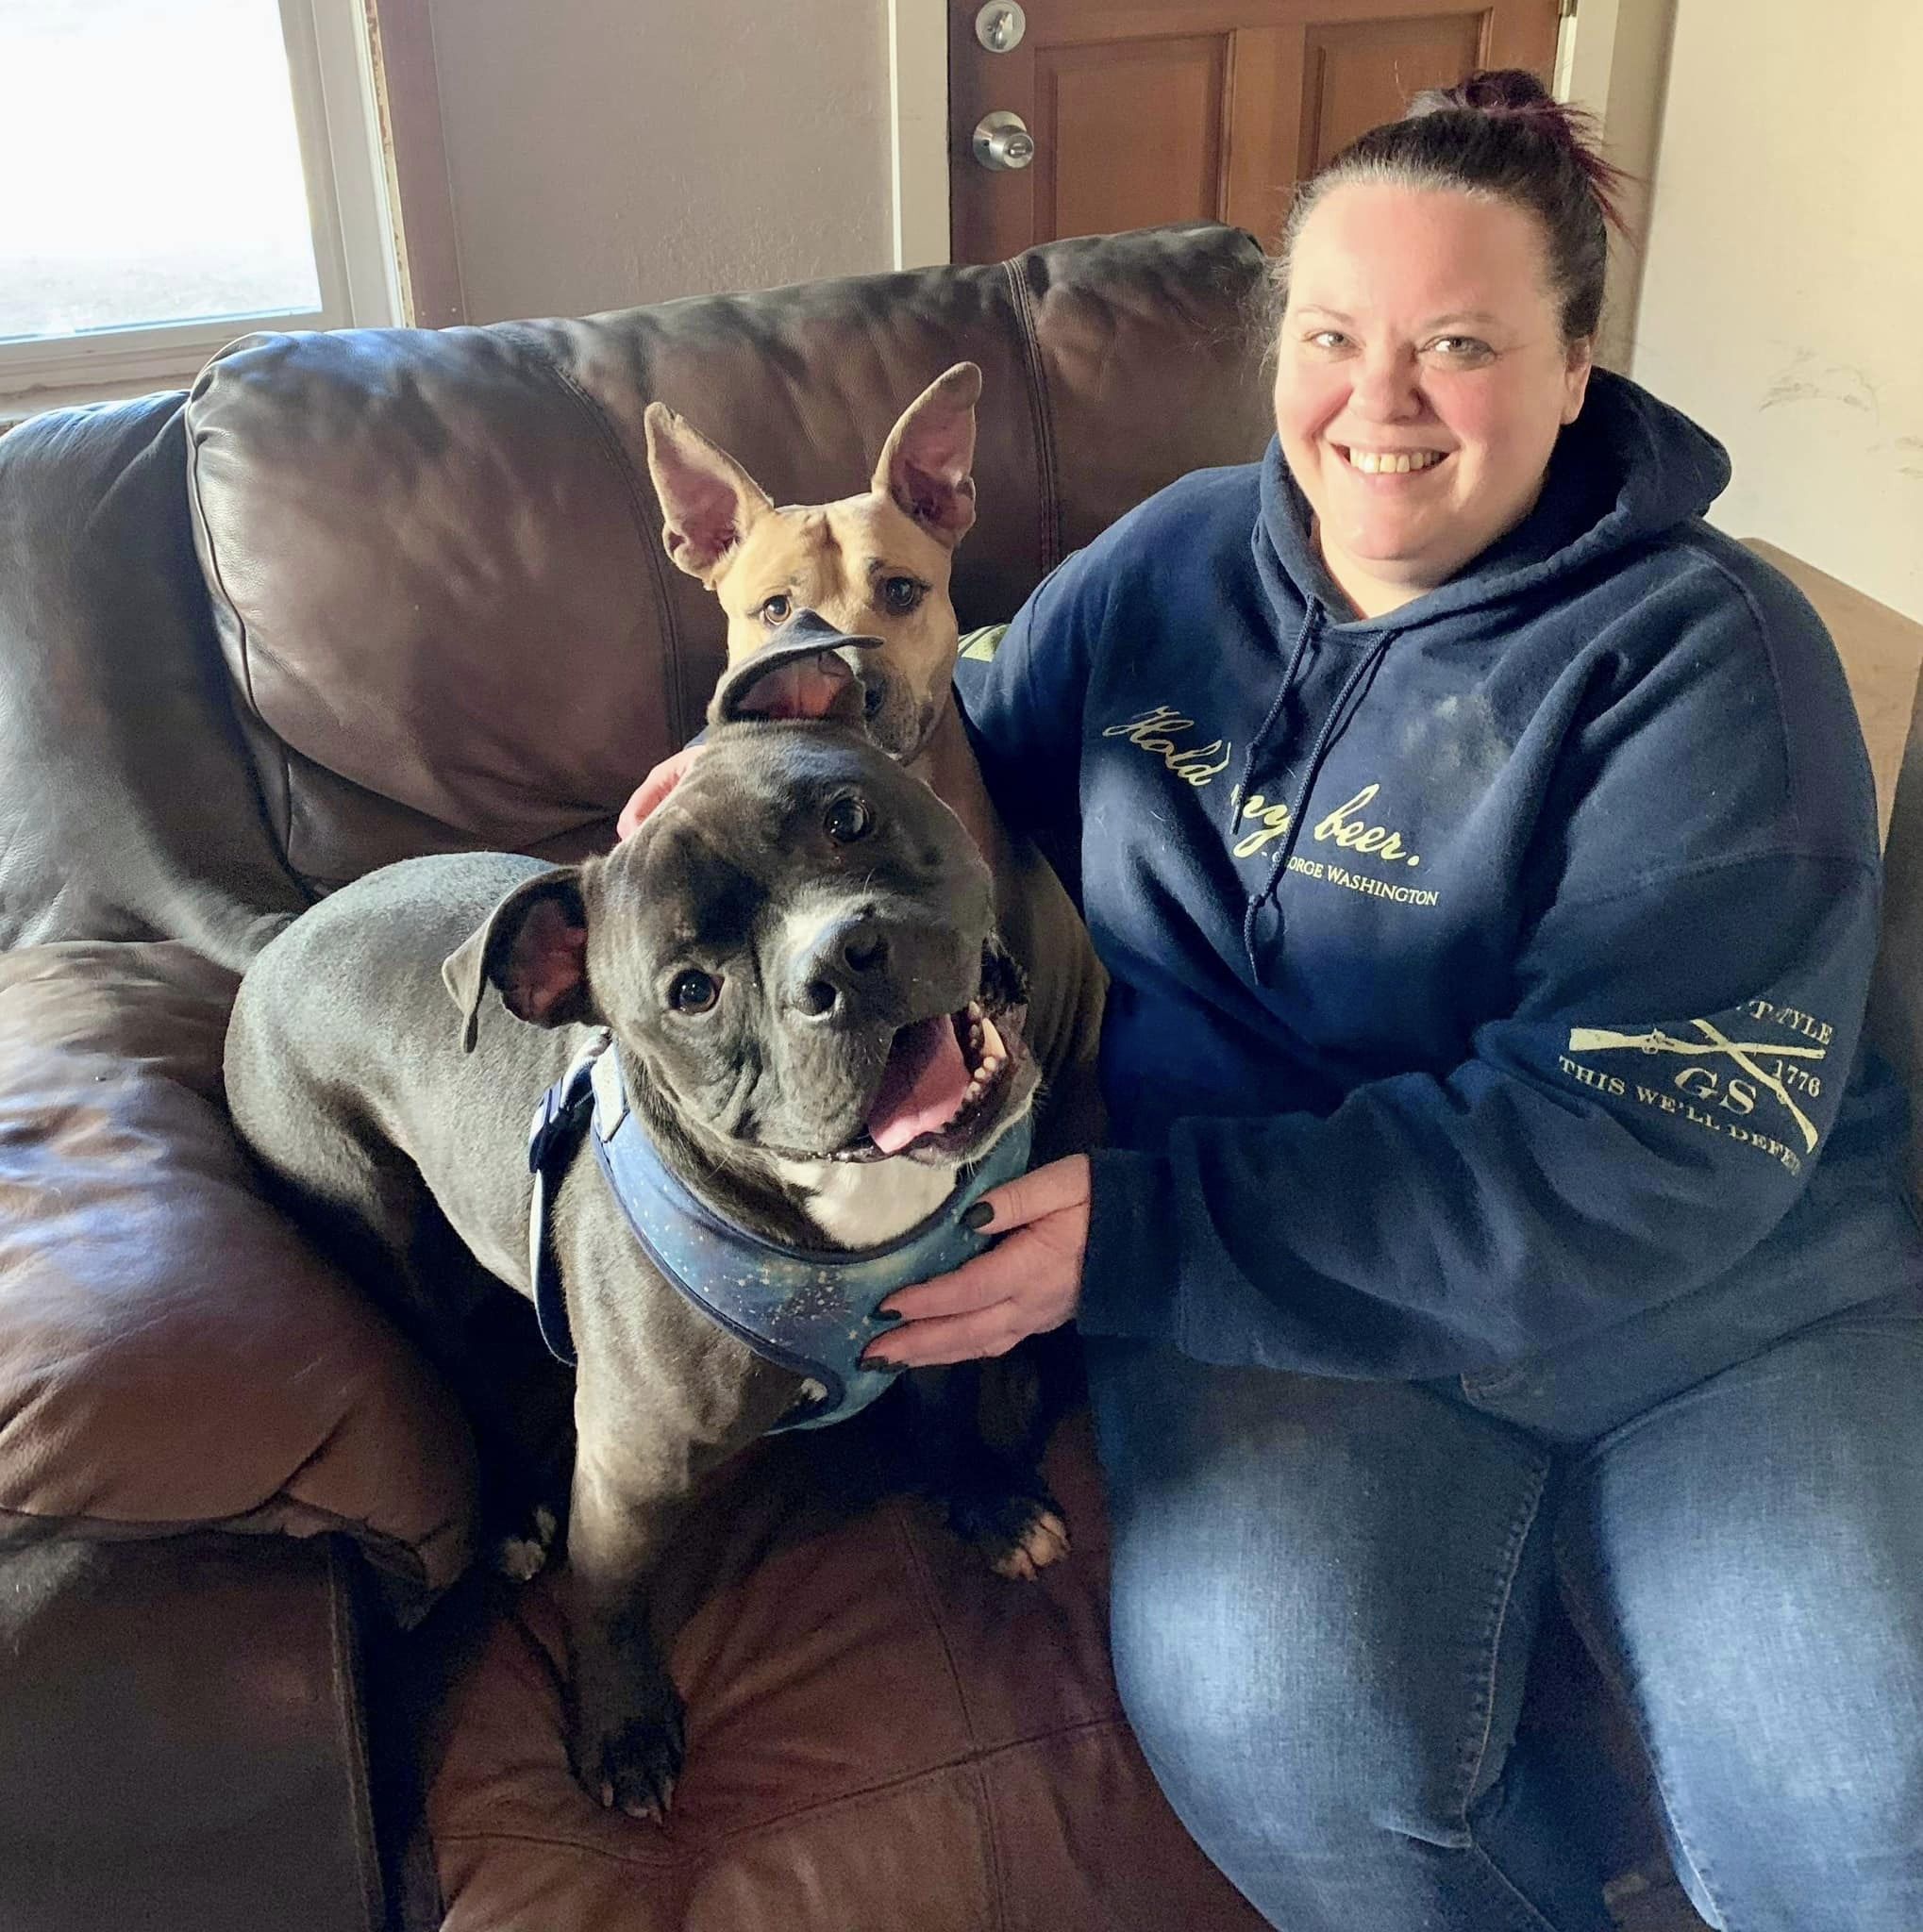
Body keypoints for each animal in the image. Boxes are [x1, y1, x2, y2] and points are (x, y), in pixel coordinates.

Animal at [228, 625, 1066, 1816]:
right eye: (690, 991)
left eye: (844, 816)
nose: (836, 960)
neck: (843, 1224)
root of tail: (271, 939)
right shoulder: (626, 1468)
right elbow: (610, 1591)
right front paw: (622, 1727)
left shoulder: (946, 1313)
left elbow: (947, 1408)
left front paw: (987, 1498)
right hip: (385, 1228)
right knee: (456, 1364)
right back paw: (507, 1513)